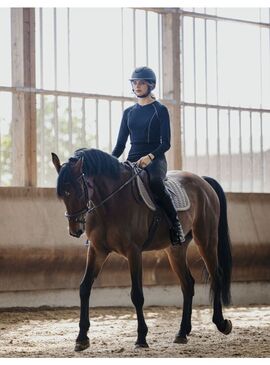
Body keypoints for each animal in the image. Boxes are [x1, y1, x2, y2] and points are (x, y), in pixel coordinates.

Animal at [51, 147, 233, 350]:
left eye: (79, 191)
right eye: (63, 194)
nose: (75, 230)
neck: (111, 202)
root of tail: (203, 181)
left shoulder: (134, 251)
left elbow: (137, 294)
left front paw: (141, 338)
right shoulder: (97, 251)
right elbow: (84, 288)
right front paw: (82, 338)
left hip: (206, 240)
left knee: (216, 276)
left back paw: (221, 323)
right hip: (175, 250)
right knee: (188, 284)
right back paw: (182, 332)